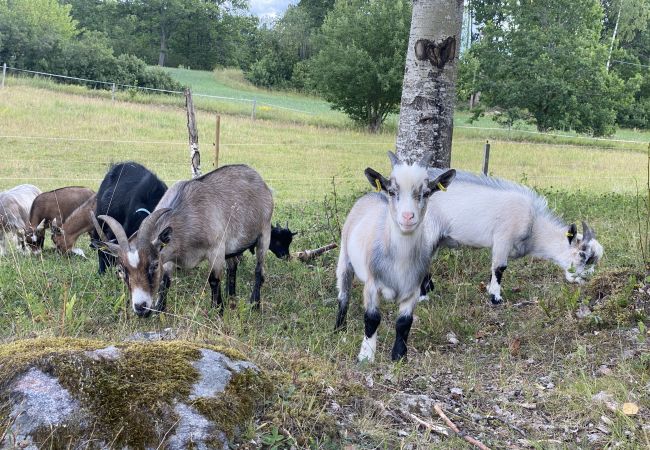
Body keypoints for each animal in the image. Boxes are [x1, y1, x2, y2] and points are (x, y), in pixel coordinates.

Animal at [93, 164, 270, 316]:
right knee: (233, 266)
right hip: (232, 248)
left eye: (154, 265)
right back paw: (231, 296)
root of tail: (258, 178)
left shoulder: (216, 249)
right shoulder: (169, 254)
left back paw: (254, 303)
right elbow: (165, 282)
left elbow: (214, 280)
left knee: (259, 270)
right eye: (122, 270)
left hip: (264, 233)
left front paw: (218, 310)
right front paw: (160, 309)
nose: (141, 308)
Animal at [334, 151, 456, 362]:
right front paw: (366, 356)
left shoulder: (413, 289)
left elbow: (404, 323)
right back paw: (339, 328)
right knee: (344, 294)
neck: (399, 261)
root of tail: (373, 193)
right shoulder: (372, 284)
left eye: (426, 193)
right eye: (392, 192)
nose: (408, 217)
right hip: (345, 257)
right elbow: (372, 319)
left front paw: (399, 356)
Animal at [420, 171, 604, 304]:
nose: (585, 279)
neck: (534, 224)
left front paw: (490, 290)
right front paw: (496, 298)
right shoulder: (503, 238)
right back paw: (424, 297)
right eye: (582, 255)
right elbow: (499, 267)